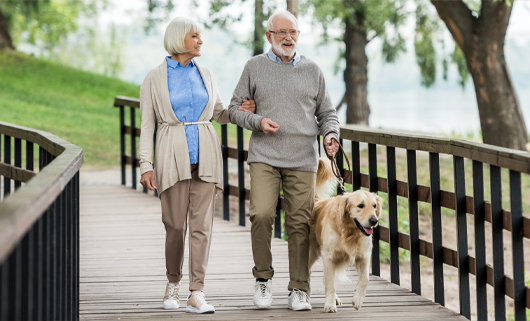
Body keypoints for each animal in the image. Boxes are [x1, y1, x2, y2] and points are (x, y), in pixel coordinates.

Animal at [308, 156, 382, 312]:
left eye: (374, 206)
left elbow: (365, 278)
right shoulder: (329, 256)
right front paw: (329, 305)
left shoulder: (364, 255)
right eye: (360, 206)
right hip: (311, 253)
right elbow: (330, 284)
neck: (350, 232)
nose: (374, 220)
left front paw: (357, 299)